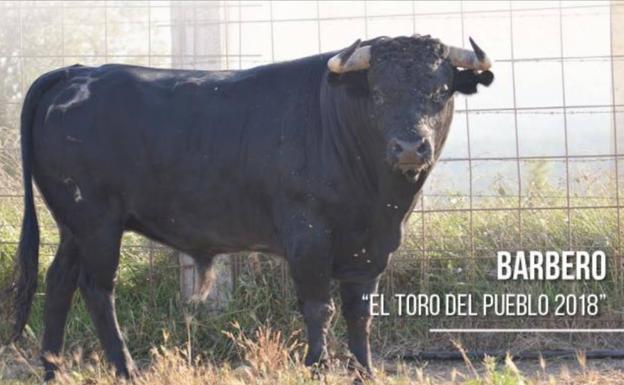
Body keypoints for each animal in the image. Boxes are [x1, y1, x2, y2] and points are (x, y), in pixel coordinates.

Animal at [7, 35, 490, 378]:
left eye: (441, 90)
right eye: (379, 92)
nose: (410, 147)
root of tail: (77, 72)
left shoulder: (371, 244)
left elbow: (360, 311)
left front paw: (364, 370)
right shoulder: (307, 235)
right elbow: (319, 306)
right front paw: (317, 365)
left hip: (74, 226)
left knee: (59, 282)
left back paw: (52, 369)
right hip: (97, 222)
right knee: (96, 288)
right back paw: (125, 370)